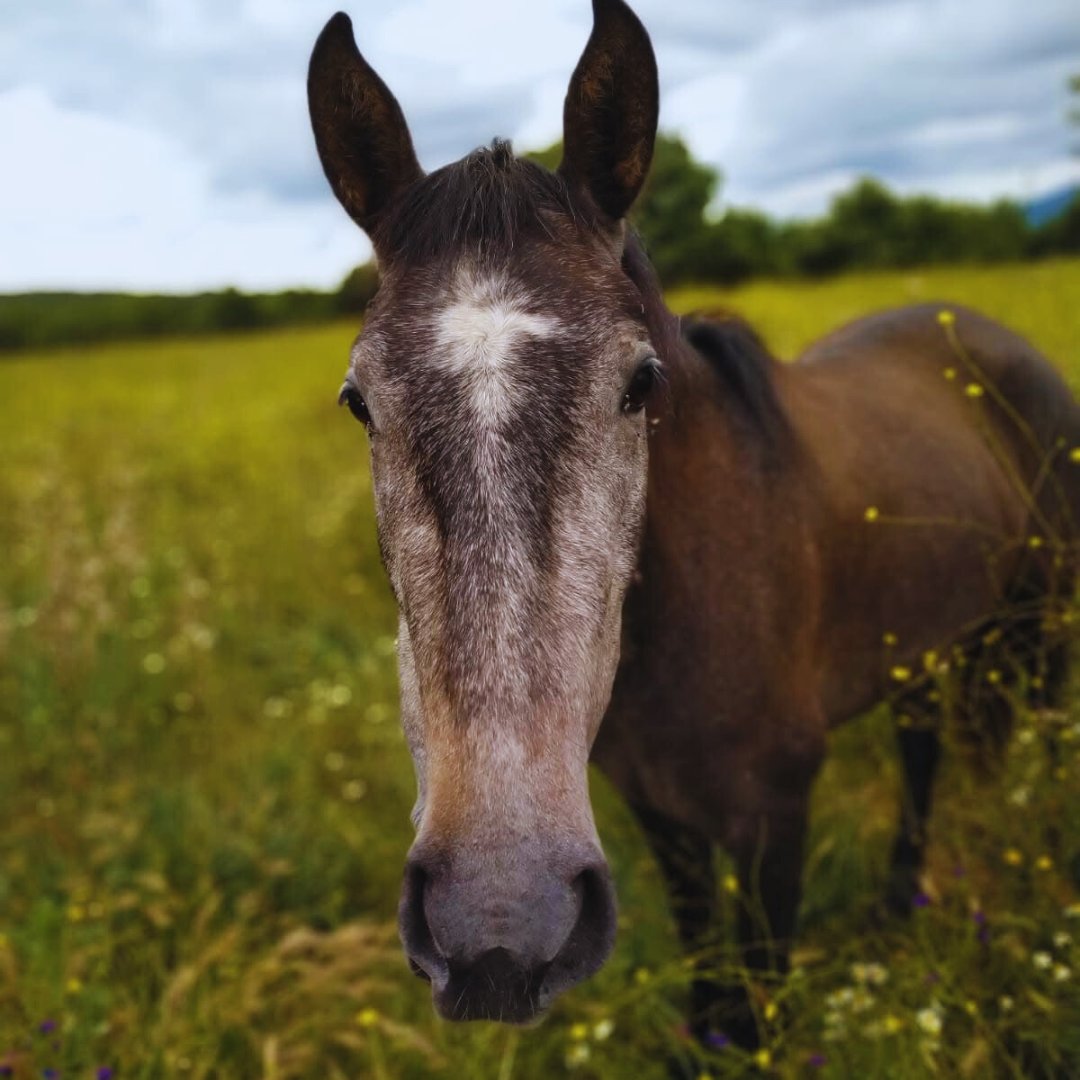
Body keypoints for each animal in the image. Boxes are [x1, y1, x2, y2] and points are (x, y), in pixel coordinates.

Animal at [306, 0, 1080, 1049]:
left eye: (640, 384)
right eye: (360, 402)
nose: (498, 924)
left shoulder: (773, 816)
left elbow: (754, 1010)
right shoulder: (660, 815)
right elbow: (711, 984)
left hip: (1033, 644)